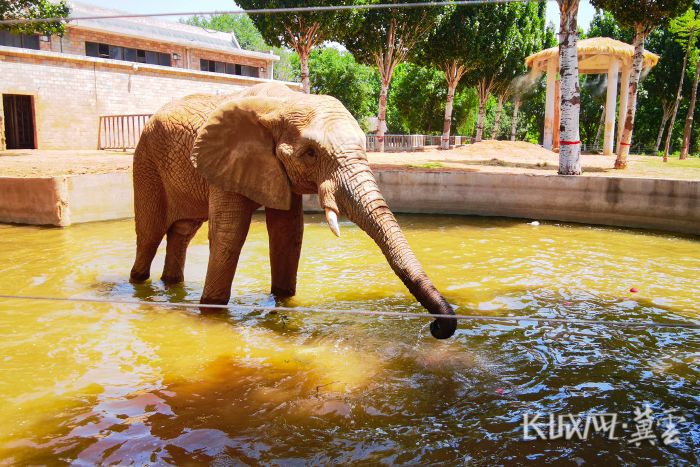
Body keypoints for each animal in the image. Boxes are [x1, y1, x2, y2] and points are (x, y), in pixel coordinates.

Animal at [130, 83, 460, 340]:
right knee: (149, 234)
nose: (435, 328)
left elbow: (288, 233)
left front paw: (284, 302)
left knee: (182, 231)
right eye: (311, 153)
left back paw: (171, 285)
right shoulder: (225, 159)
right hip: (145, 160)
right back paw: (139, 285)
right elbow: (230, 234)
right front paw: (212, 312)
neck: (283, 102)